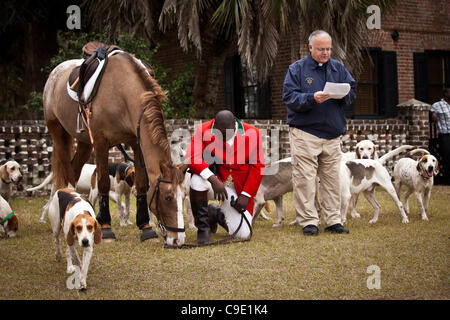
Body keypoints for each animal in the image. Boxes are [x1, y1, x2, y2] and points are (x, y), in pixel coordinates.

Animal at [43, 49, 186, 248]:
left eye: (184, 196)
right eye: (168, 197)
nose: (179, 239)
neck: (121, 93)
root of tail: (54, 74)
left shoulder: (136, 141)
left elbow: (142, 182)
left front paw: (146, 228)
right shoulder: (101, 142)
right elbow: (103, 181)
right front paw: (106, 228)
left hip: (85, 143)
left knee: (74, 170)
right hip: (58, 133)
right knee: (66, 173)